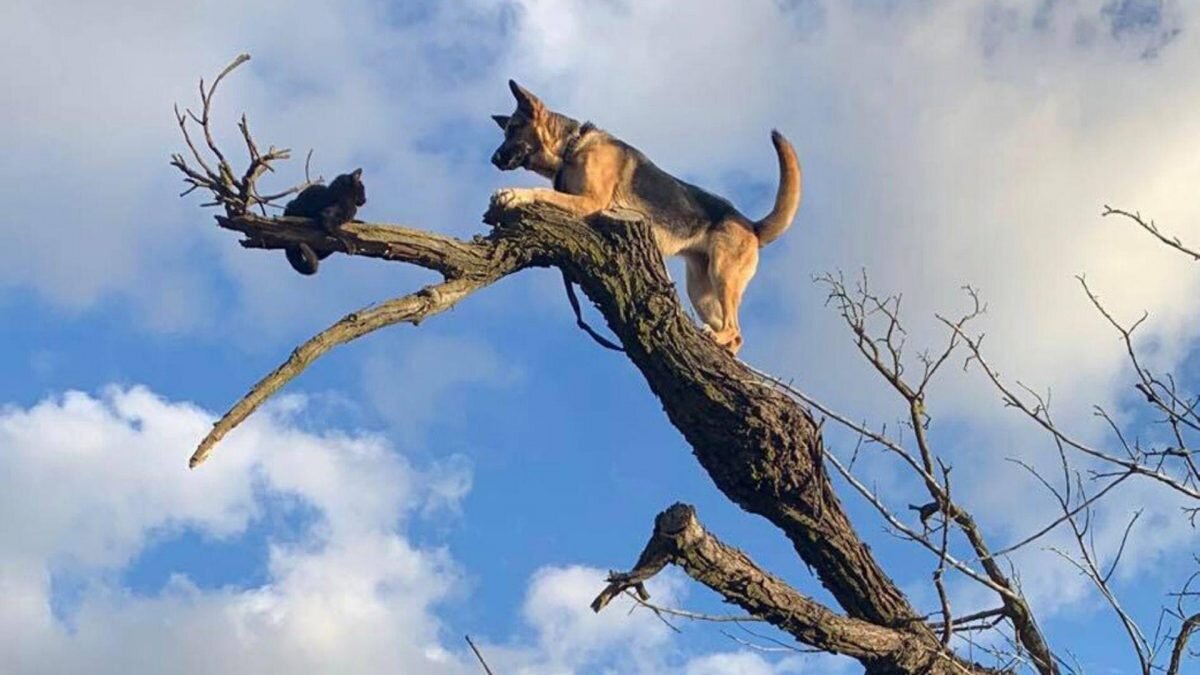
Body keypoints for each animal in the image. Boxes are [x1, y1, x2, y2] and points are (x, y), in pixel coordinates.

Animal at [487, 78, 806, 353]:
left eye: (514, 128)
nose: (494, 159)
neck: (570, 146)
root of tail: (751, 225)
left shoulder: (590, 202)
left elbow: (542, 192)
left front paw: (513, 194)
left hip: (722, 273)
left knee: (736, 330)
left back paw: (718, 338)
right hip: (700, 289)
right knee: (736, 337)